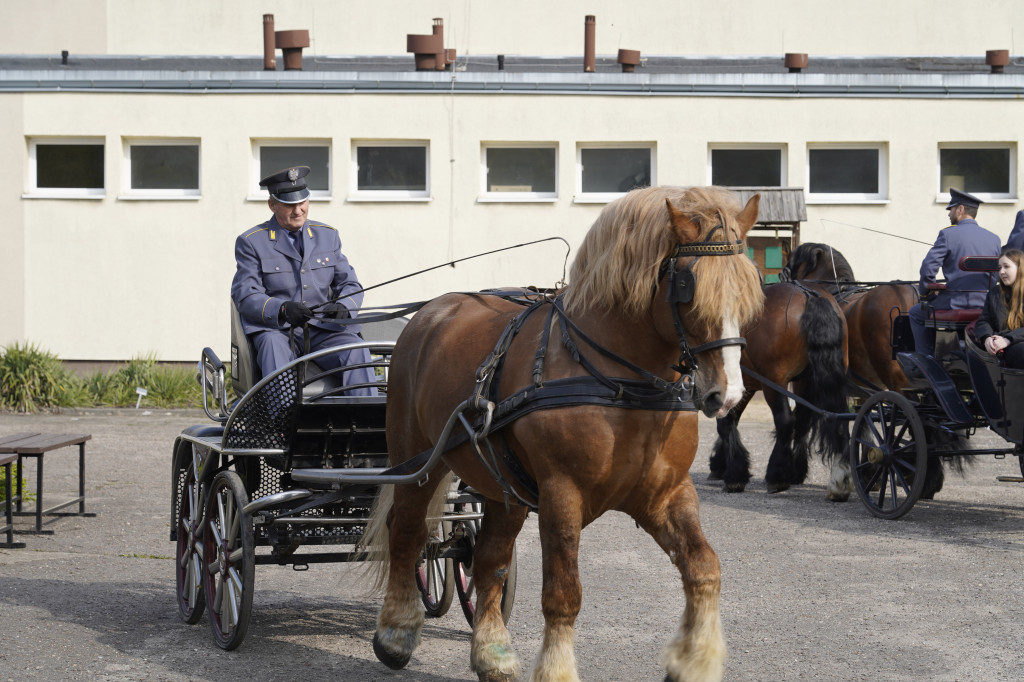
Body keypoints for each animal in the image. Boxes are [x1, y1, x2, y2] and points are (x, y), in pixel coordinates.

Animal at [364, 186, 765, 679]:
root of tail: (428, 315)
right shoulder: (562, 493)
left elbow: (703, 566)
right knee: (406, 533)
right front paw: (557, 668)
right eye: (688, 289)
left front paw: (694, 660)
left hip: (503, 486)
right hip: (419, 458)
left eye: (749, 288)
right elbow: (563, 594)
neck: (618, 383)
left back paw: (492, 651)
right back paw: (396, 633)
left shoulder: (665, 493)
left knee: (488, 559)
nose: (727, 394)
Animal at [708, 278, 851, 497]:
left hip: (774, 384)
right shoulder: (746, 385)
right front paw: (722, 463)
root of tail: (809, 295)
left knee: (785, 421)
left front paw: (734, 475)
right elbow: (731, 421)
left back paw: (777, 475)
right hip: (808, 381)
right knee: (817, 420)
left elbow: (725, 423)